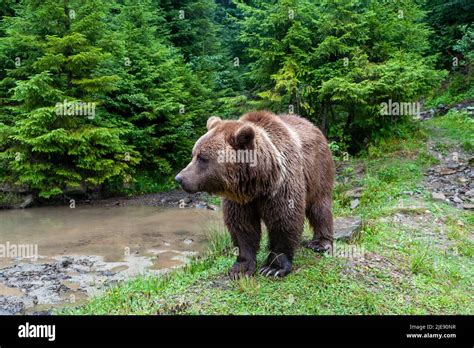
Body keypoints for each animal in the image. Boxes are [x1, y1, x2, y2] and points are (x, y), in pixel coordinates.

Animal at [176, 110, 336, 278]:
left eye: (203, 158)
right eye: (193, 154)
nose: (179, 178)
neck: (257, 182)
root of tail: (312, 125)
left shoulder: (282, 184)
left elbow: (284, 219)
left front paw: (273, 267)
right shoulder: (239, 198)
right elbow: (242, 225)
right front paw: (240, 268)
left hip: (318, 169)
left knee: (319, 205)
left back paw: (320, 243)